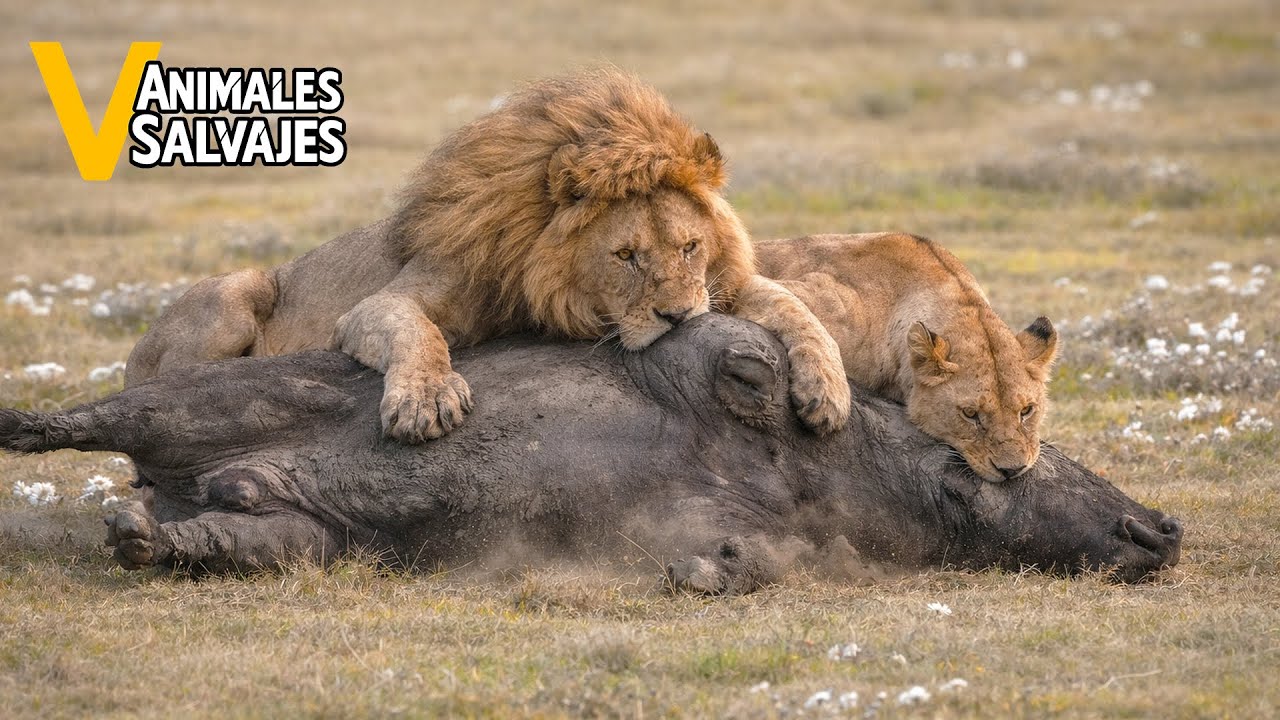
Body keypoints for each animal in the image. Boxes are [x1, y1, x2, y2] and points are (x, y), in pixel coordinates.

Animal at [124, 69, 850, 442]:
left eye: (690, 246)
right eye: (626, 256)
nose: (677, 319)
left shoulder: (722, 285)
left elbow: (790, 304)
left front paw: (827, 389)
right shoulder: (383, 301)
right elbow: (414, 328)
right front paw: (425, 399)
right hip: (235, 293)